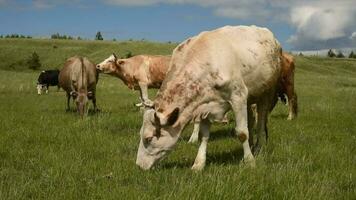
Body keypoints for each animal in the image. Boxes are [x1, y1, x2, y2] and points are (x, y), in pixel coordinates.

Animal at [135, 24, 282, 170]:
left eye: (148, 138)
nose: (139, 165)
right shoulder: (205, 105)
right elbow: (204, 135)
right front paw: (199, 163)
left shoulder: (238, 96)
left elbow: (241, 132)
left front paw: (249, 161)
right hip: (250, 99)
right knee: (251, 122)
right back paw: (251, 145)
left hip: (266, 93)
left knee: (260, 123)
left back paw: (258, 148)